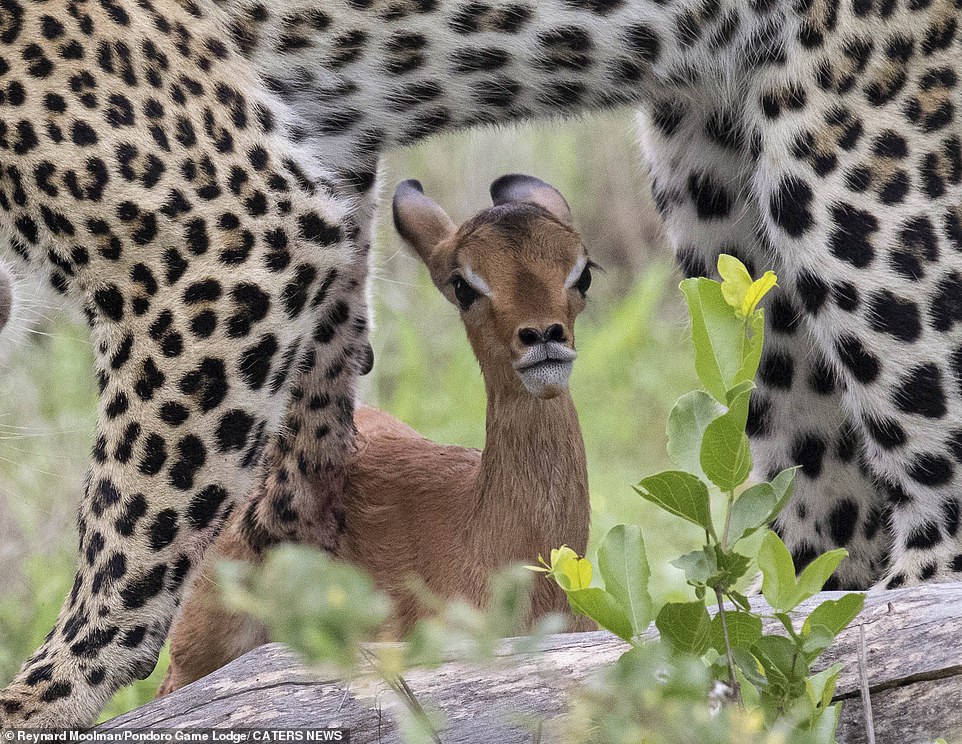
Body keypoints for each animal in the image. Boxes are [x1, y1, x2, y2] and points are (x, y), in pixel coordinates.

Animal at [0, 0, 956, 728]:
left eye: (584, 274)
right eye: (462, 286)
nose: (543, 339)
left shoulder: (230, 226)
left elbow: (133, 515)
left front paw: (43, 698)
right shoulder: (315, 172)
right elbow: (324, 366)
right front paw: (296, 530)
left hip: (866, 172)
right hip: (727, 191)